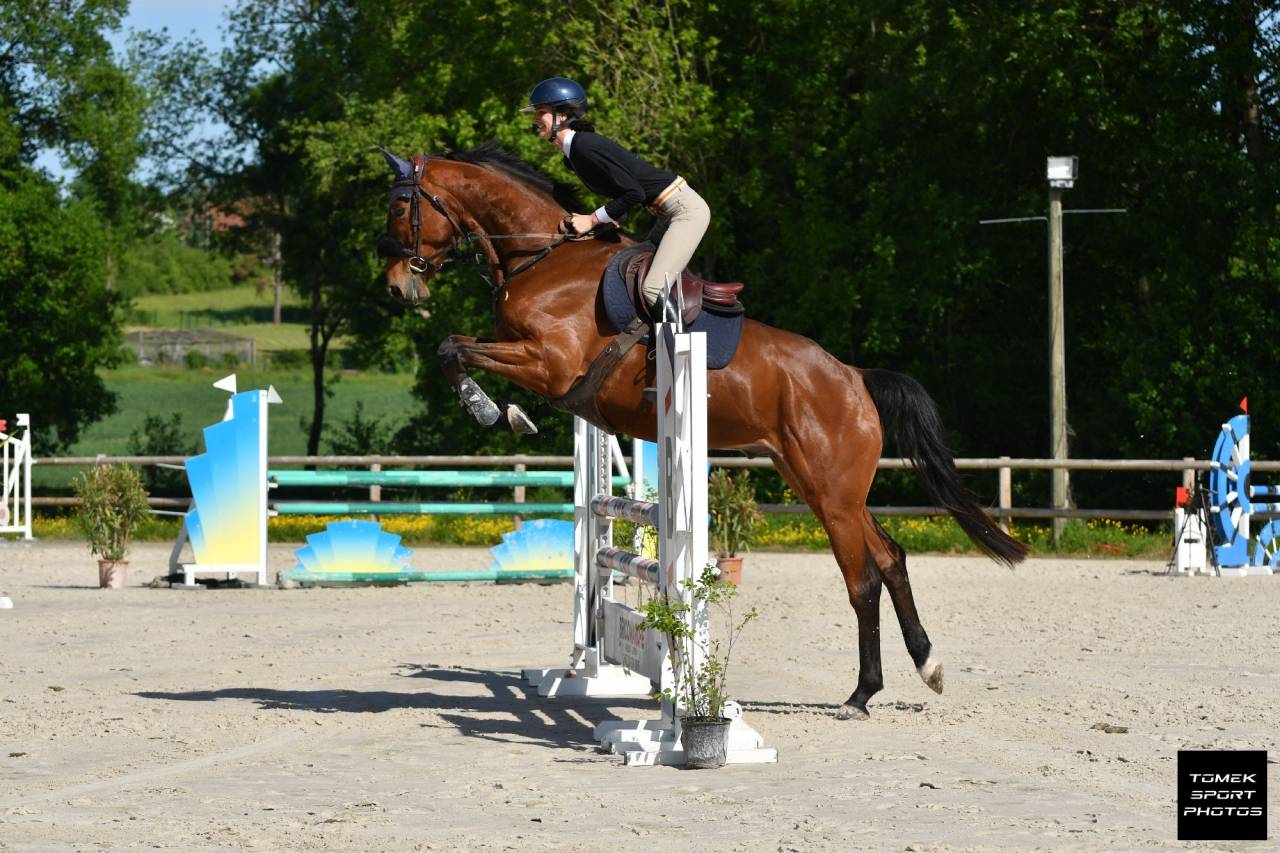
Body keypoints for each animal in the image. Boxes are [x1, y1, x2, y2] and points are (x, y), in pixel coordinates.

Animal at [378, 143, 1028, 720]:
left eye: (399, 206)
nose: (395, 288)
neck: (541, 256)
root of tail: (854, 377)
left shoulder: (550, 364)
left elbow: (452, 349)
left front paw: (497, 413)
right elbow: (454, 347)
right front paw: (500, 411)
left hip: (833, 492)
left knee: (863, 578)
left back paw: (861, 695)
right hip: (820, 485)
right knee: (890, 558)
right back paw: (926, 666)